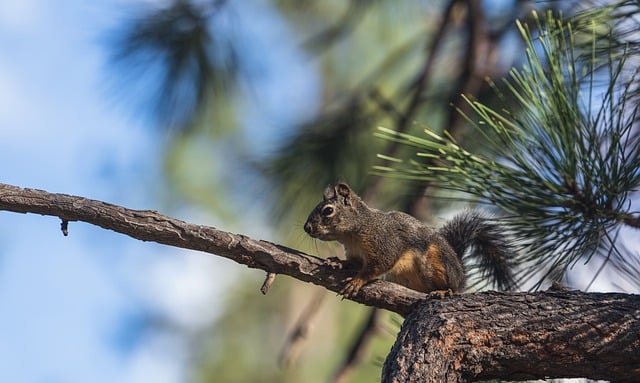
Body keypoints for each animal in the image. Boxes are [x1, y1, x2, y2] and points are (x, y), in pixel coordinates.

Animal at [302, 183, 516, 300]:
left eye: (328, 211)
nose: (307, 228)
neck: (354, 233)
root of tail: (460, 272)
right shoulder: (355, 253)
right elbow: (353, 262)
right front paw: (337, 262)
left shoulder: (385, 244)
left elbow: (377, 266)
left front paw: (357, 281)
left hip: (436, 263)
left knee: (454, 288)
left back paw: (444, 291)